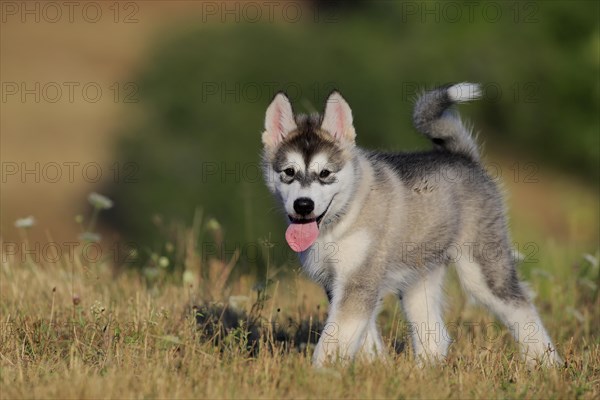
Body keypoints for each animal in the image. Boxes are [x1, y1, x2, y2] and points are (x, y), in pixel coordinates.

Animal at [260, 83, 560, 368]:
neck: (342, 218)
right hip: (419, 276)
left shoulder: (358, 280)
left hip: (482, 266)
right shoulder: (340, 284)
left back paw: (547, 364)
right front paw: (374, 367)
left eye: (325, 173)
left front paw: (319, 373)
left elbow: (336, 337)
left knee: (521, 308)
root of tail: (461, 156)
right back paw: (425, 372)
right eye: (289, 172)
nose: (303, 205)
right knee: (435, 333)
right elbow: (360, 334)